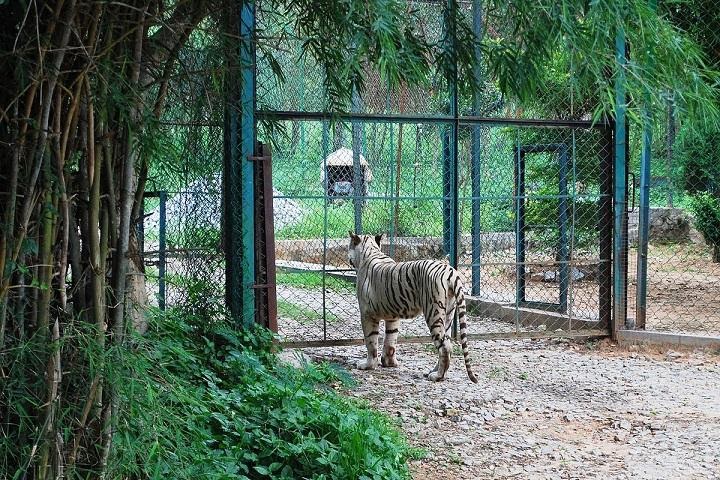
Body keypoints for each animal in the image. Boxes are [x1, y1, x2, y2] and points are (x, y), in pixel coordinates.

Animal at [348, 231, 478, 384]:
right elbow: (391, 340)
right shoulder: (393, 317)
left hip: (433, 313)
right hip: (448, 315)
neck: (370, 251)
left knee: (445, 346)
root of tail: (449, 271)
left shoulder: (367, 314)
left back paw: (438, 376)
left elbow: (371, 342)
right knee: (447, 343)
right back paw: (435, 371)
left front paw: (368, 365)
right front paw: (389, 363)